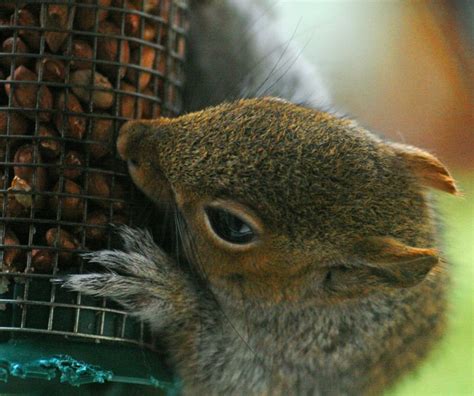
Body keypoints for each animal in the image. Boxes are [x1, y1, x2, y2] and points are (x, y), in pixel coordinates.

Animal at [60, 0, 460, 396]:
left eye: (231, 226)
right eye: (276, 104)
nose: (130, 138)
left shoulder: (308, 361)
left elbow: (220, 373)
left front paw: (166, 292)